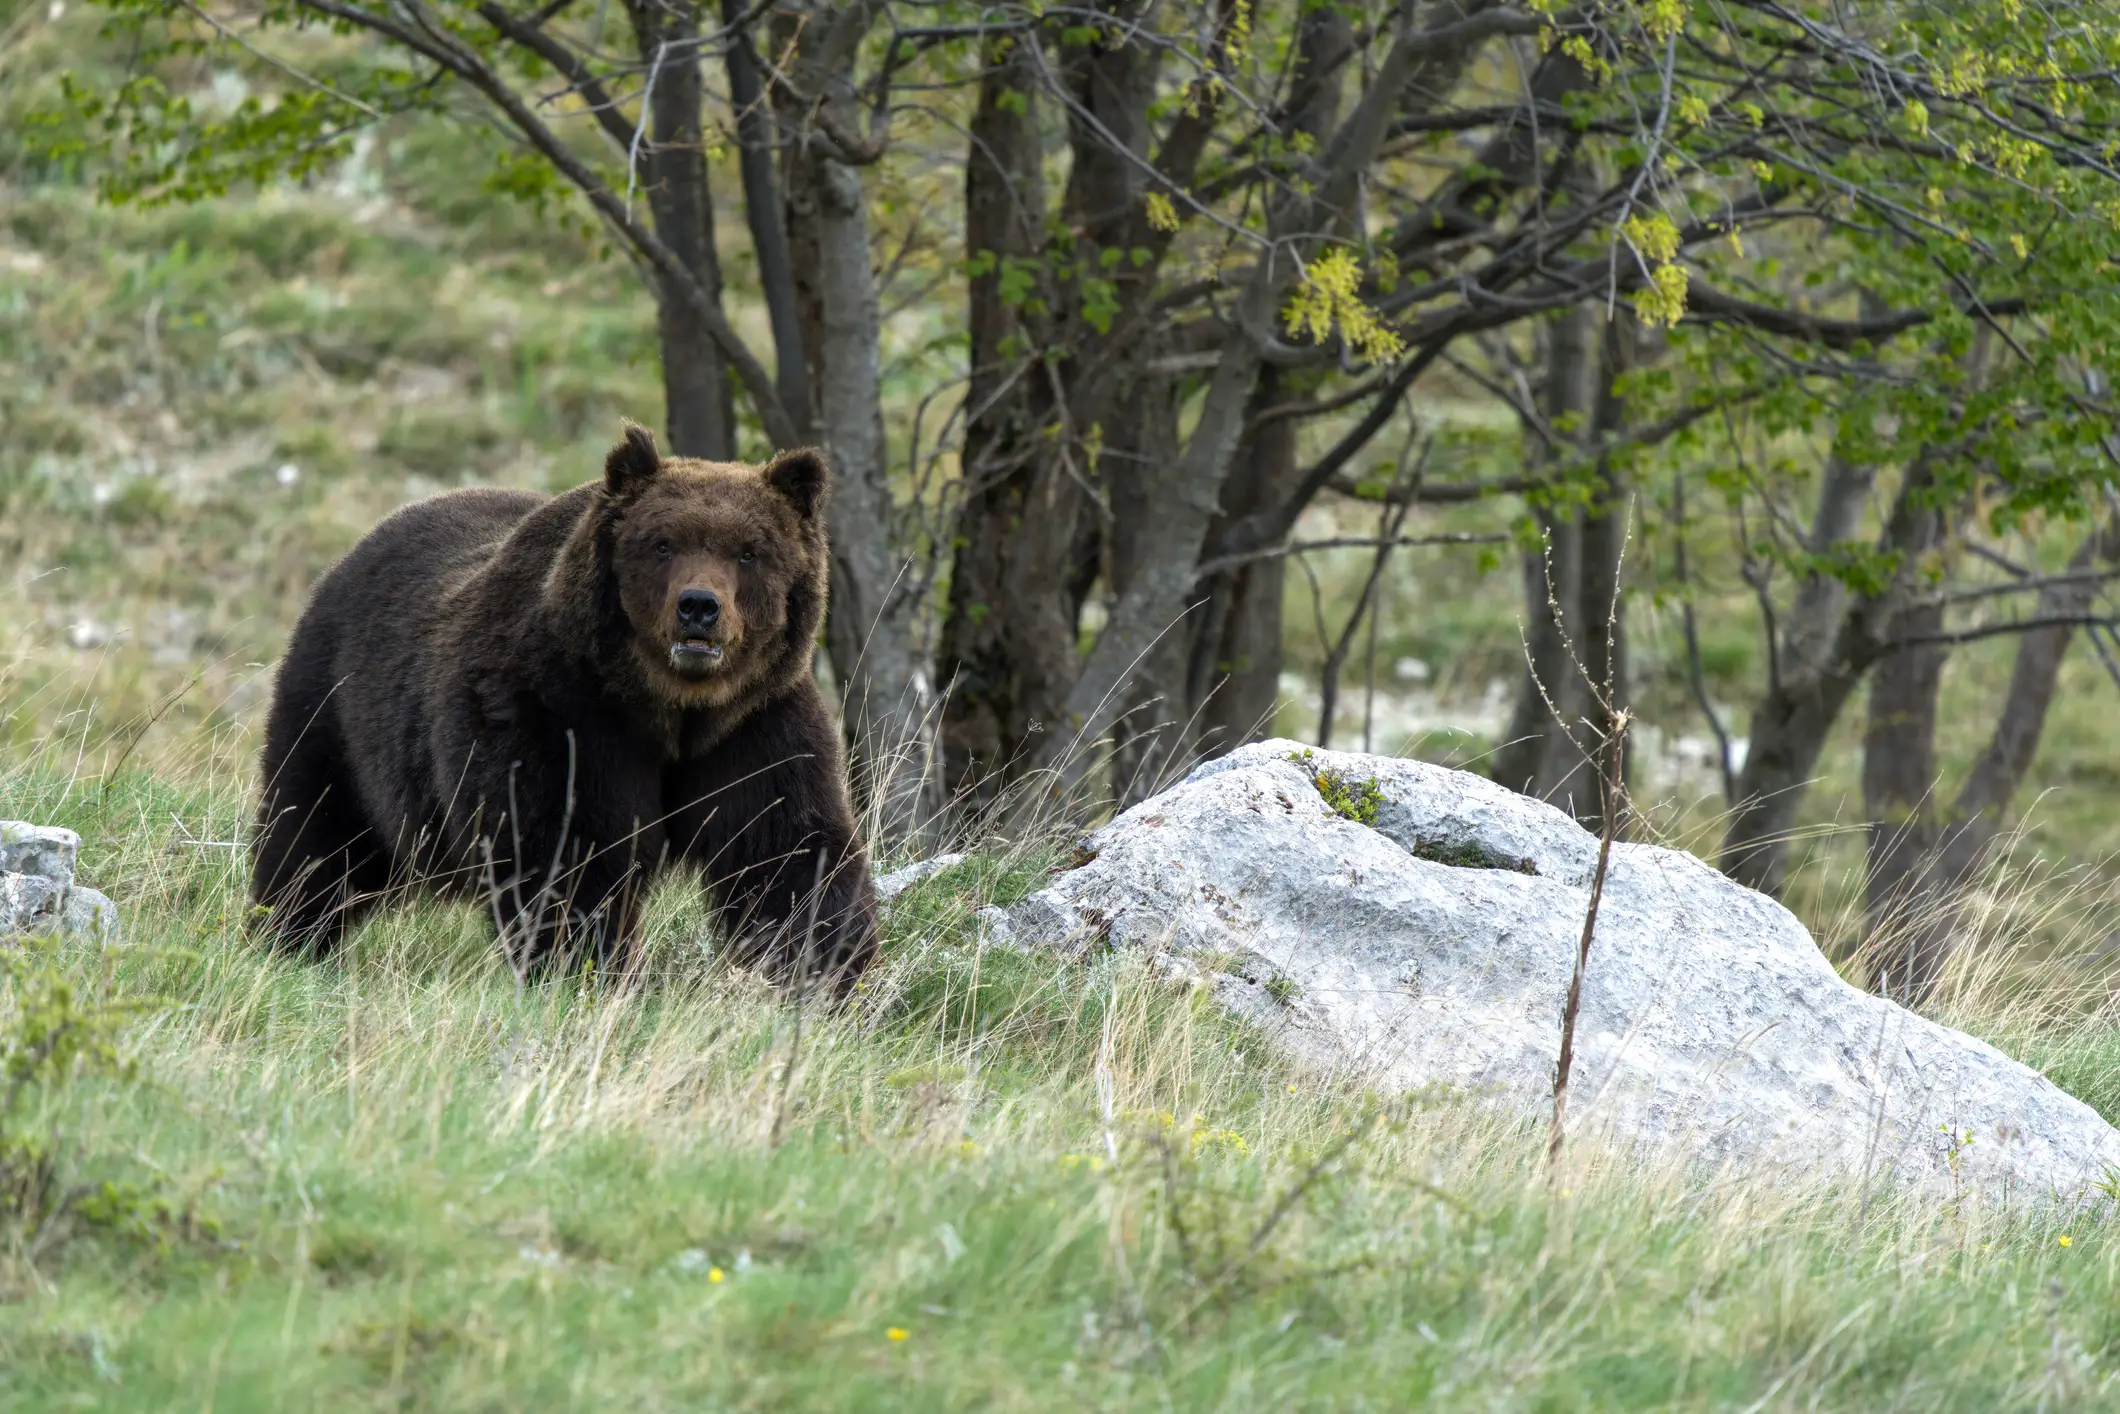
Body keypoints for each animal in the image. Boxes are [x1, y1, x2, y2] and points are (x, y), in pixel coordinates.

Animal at [248, 424, 878, 990]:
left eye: (749, 552)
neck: (671, 707)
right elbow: (568, 854)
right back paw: (286, 936)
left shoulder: (753, 729)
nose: (699, 606)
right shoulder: (559, 712)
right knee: (315, 835)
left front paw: (832, 975)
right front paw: (587, 969)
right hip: (339, 713)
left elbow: (787, 851)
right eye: (663, 543)